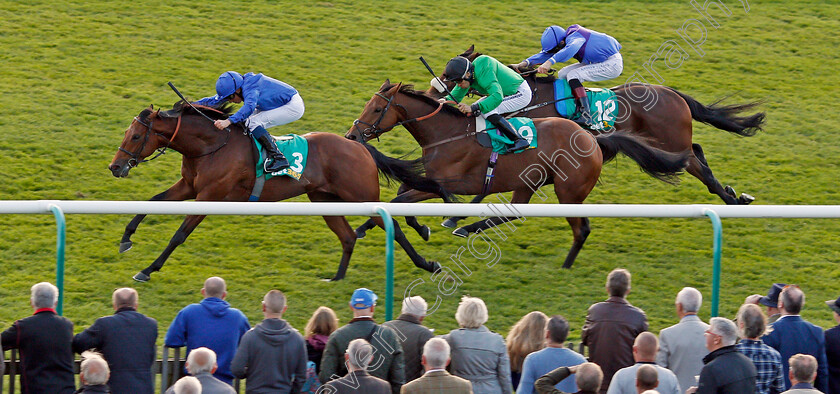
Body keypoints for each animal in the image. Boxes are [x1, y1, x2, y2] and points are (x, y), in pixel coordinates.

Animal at [111, 103, 452, 282]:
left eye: (137, 136)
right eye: (128, 132)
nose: (115, 167)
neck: (211, 146)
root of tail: (358, 145)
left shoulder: (208, 196)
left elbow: (178, 235)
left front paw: (148, 269)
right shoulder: (188, 187)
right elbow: (152, 202)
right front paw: (126, 238)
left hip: (361, 196)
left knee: (391, 226)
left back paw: (427, 263)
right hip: (324, 200)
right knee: (347, 236)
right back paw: (336, 279)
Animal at [342, 81, 688, 270]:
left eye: (376, 109)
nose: (351, 136)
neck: (446, 133)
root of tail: (592, 138)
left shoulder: (450, 184)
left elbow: (403, 199)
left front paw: (424, 226)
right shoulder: (431, 180)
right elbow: (401, 197)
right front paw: (413, 226)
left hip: (568, 192)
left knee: (580, 229)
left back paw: (564, 265)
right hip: (528, 183)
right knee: (514, 213)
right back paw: (467, 228)